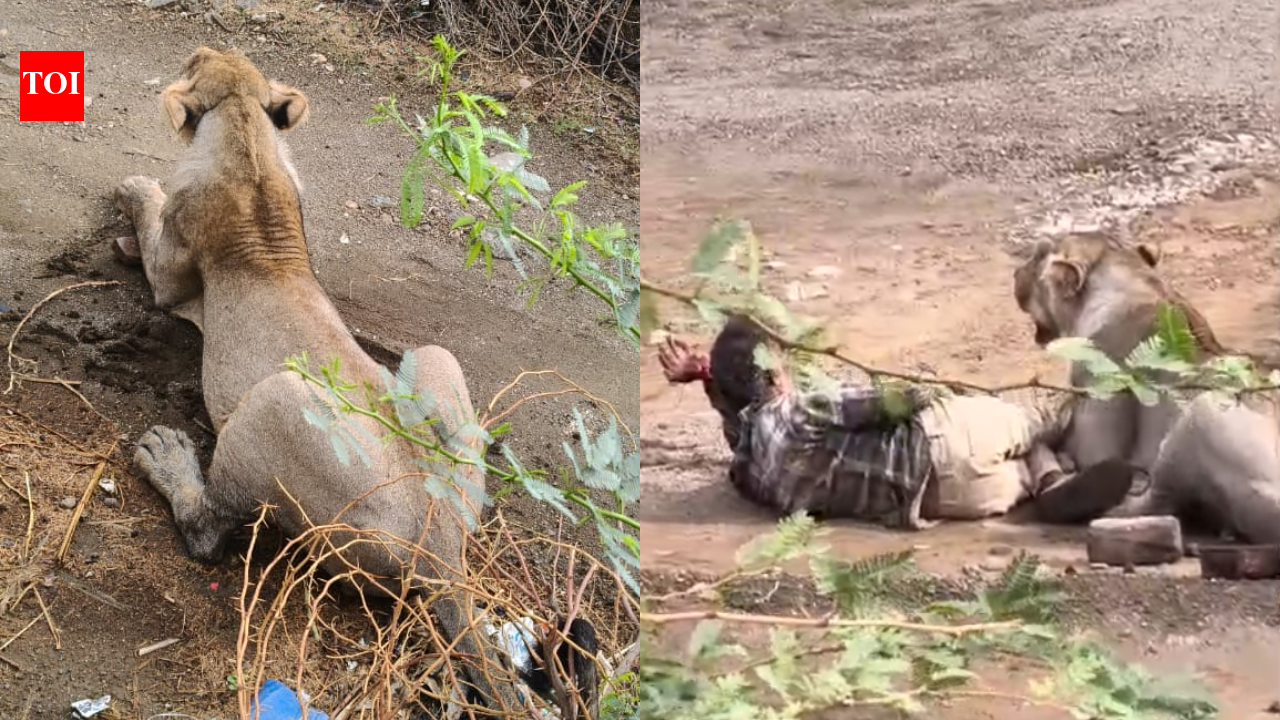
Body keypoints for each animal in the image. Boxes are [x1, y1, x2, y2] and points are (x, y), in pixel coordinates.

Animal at [113, 47, 528, 714]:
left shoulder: (170, 275)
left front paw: (132, 189)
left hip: (275, 401)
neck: (248, 142)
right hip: (436, 365)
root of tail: (437, 543)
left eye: (194, 62)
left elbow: (150, 213)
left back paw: (167, 458)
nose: (203, 49)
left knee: (209, 532)